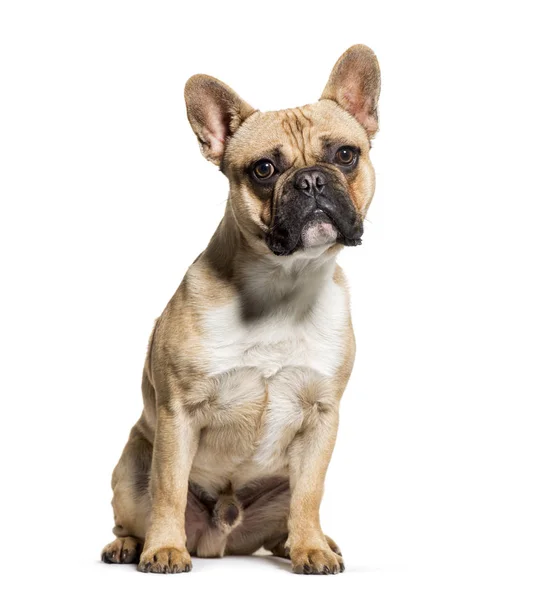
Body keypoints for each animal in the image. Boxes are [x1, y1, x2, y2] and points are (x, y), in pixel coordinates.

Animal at [101, 44, 378, 576]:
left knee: (290, 511)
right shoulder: (178, 413)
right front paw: (164, 549)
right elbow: (169, 490)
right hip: (130, 468)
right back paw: (130, 546)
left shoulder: (322, 417)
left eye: (345, 155)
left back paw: (307, 543)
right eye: (264, 170)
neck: (284, 282)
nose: (312, 180)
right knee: (136, 508)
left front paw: (310, 547)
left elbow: (310, 494)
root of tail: (221, 538)